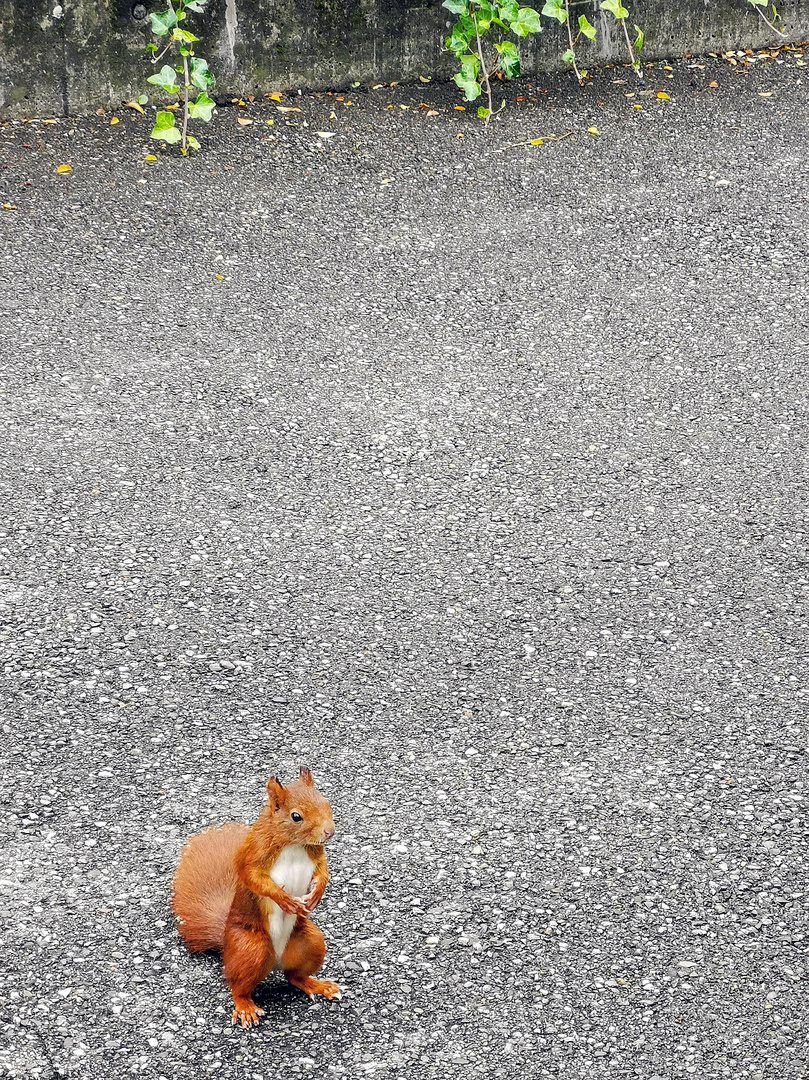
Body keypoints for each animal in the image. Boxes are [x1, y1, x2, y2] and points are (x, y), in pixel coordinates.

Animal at [169, 764, 336, 1023]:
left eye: (326, 802)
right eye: (296, 816)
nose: (329, 832)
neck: (294, 844)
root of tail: (275, 961)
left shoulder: (316, 855)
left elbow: (322, 870)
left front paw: (317, 892)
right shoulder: (253, 854)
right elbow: (254, 878)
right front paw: (284, 899)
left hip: (311, 943)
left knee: (294, 977)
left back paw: (318, 985)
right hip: (250, 947)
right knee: (237, 986)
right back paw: (245, 1007)